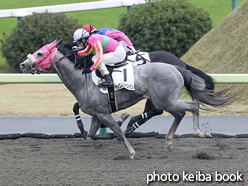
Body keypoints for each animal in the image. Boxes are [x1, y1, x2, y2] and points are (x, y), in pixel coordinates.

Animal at [19, 40, 234, 158]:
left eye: (39, 53)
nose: (23, 64)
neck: (82, 78)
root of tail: (177, 66)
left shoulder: (103, 113)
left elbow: (117, 132)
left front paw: (129, 148)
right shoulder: (97, 114)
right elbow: (93, 135)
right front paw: (119, 124)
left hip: (166, 100)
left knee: (193, 106)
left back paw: (199, 133)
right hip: (165, 100)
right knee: (179, 113)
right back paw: (168, 142)